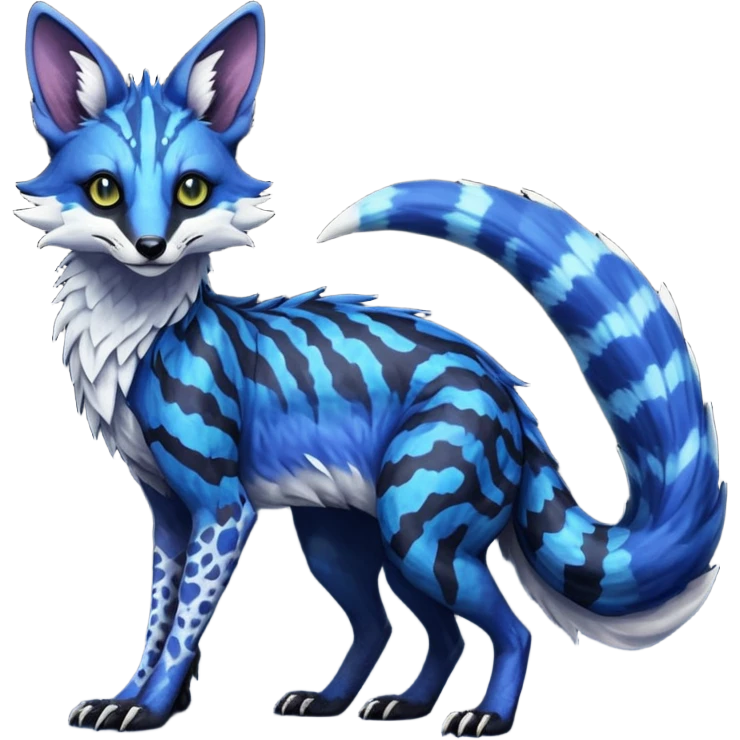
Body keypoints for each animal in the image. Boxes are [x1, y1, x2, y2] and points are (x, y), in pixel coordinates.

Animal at [18, 1, 725, 737]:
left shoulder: (221, 505)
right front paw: (137, 699)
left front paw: (151, 707)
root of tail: (508, 393)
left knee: (509, 630)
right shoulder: (166, 509)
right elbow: (159, 617)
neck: (136, 341)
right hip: (349, 538)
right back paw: (369, 703)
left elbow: (184, 626)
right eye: (104, 190)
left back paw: (486, 716)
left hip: (415, 528)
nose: (150, 246)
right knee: (407, 630)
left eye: (191, 190)